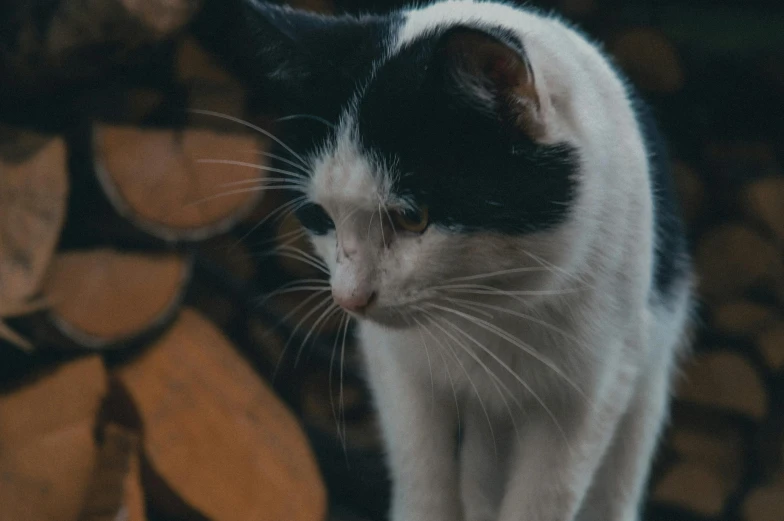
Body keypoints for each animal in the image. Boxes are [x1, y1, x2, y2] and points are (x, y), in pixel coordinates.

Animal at [193, 2, 696, 516]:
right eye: (319, 215)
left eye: (413, 217)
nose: (349, 298)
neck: (487, 309)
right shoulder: (398, 369)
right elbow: (422, 475)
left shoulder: (590, 389)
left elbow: (545, 496)